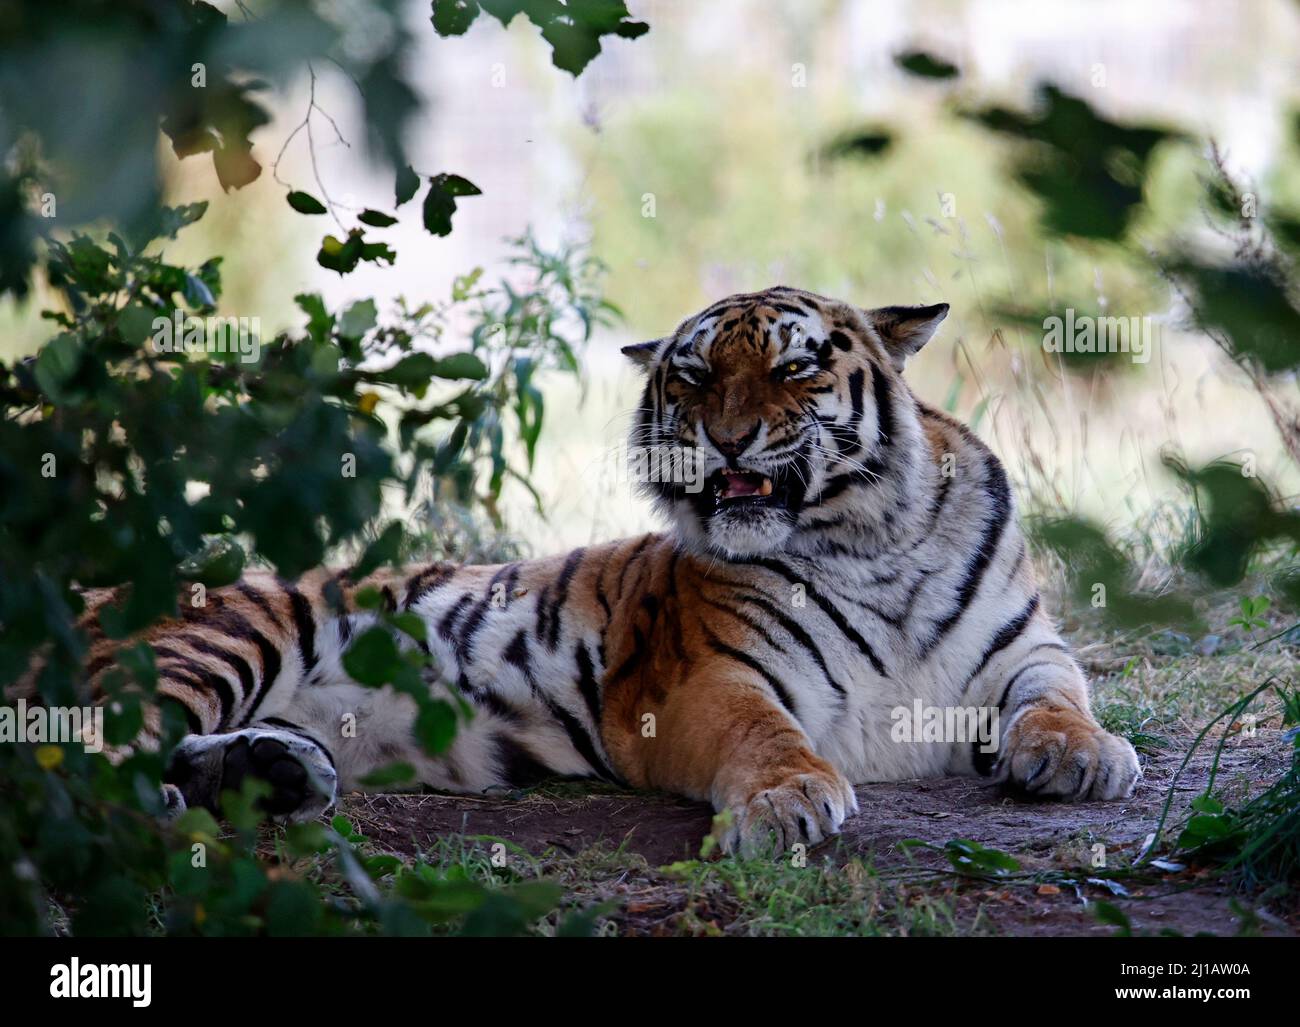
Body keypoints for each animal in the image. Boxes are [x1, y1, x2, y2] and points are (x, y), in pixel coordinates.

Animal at [17, 286, 1138, 857]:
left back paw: (272, 773)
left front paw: (1082, 755)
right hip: (216, 637)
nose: (727, 439)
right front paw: (787, 801)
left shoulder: (1024, 647)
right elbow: (766, 735)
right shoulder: (706, 678)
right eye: (693, 376)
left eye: (792, 368)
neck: (869, 539)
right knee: (61, 759)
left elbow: (1059, 694)